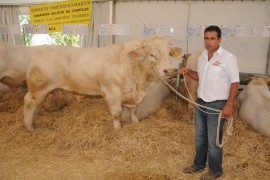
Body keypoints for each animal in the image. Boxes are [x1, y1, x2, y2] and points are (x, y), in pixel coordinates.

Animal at [23, 36, 181, 131]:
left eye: (168, 53)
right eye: (152, 55)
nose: (169, 70)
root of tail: (42, 48)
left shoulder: (130, 95)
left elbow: (133, 111)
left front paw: (135, 123)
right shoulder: (112, 94)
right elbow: (116, 114)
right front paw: (117, 130)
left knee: (36, 104)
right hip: (39, 87)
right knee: (29, 102)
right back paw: (29, 126)